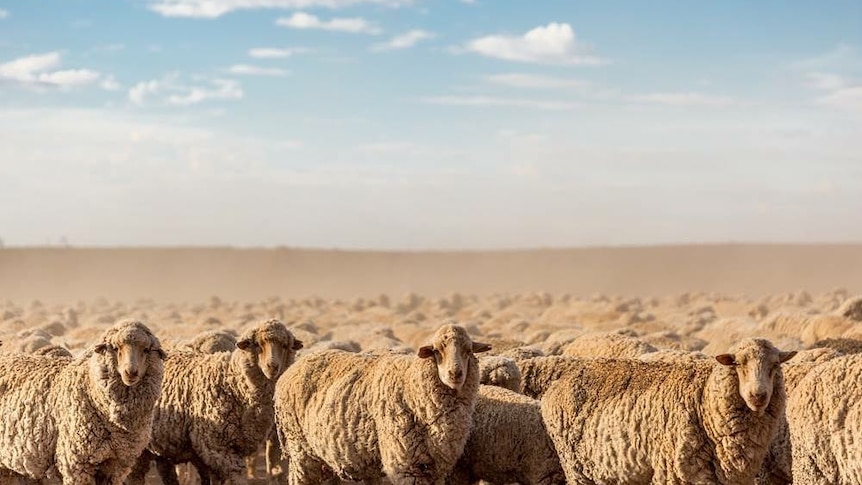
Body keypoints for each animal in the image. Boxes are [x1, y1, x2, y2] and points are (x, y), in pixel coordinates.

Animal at [126, 318, 306, 484]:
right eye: (257, 344)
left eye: (285, 346)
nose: (272, 367)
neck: (233, 382)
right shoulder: (218, 447)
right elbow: (237, 477)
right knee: (135, 475)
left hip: (162, 445)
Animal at [276, 322, 492, 484]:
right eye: (436, 350)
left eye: (468, 350)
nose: (455, 374)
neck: (410, 387)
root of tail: (292, 368)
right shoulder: (405, 466)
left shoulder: (436, 470)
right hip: (301, 450)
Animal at [544, 336, 800, 484]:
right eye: (738, 363)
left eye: (775, 365)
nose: (758, 396)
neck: (704, 401)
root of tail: (559, 382)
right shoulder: (676, 474)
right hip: (576, 468)